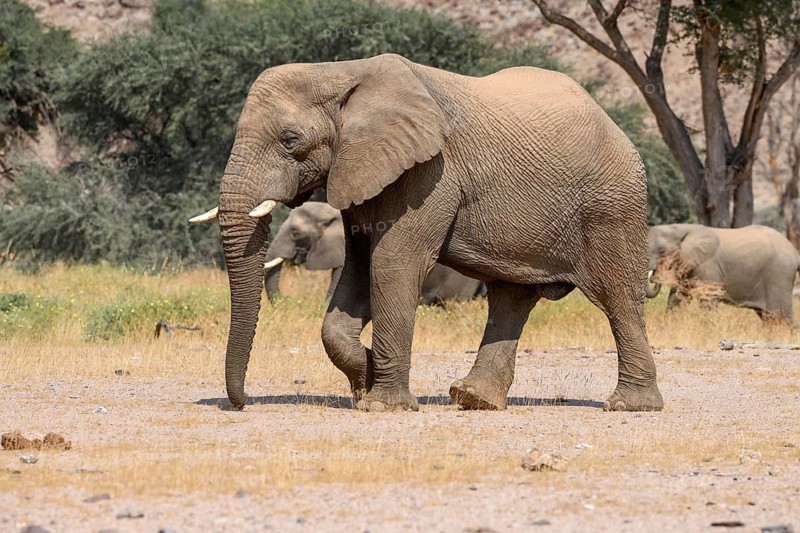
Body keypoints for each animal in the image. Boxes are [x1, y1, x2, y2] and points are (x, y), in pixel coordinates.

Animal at [646, 224, 800, 322]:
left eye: (662, 251)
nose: (655, 278)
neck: (680, 228)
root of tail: (795, 253)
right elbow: (676, 297)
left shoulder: (708, 264)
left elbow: (708, 299)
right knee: (768, 318)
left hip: (780, 276)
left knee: (781, 315)